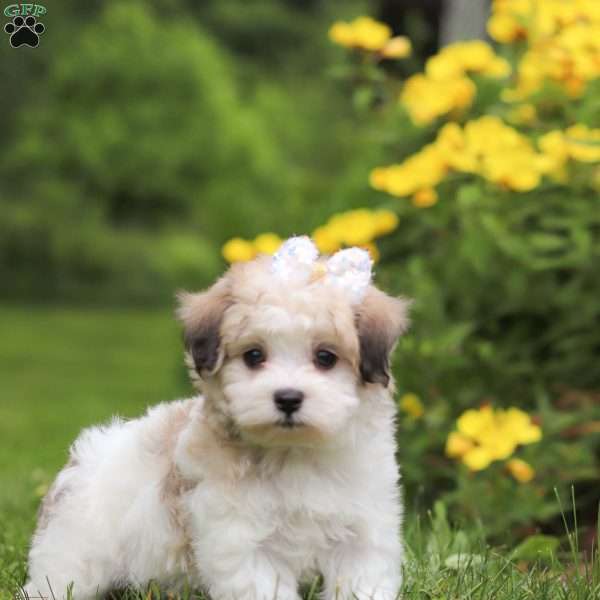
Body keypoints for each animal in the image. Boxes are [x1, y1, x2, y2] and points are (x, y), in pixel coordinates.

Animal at [22, 237, 408, 596]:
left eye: (325, 357)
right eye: (254, 356)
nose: (287, 398)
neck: (294, 452)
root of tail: (84, 458)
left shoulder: (363, 530)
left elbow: (362, 579)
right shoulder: (242, 541)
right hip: (77, 548)